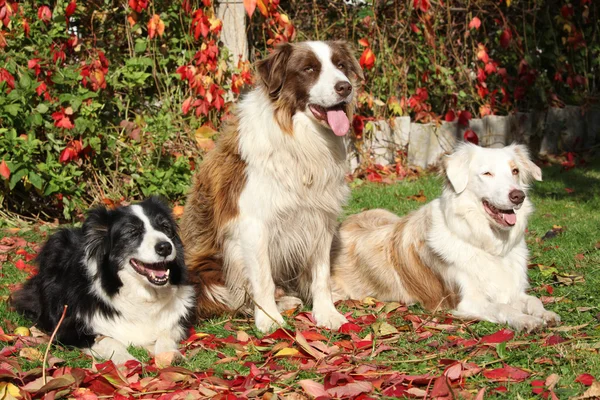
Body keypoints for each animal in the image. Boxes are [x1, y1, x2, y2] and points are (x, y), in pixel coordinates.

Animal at [180, 41, 364, 332]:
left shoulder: (320, 219)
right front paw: (268, 320)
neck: (301, 140)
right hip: (206, 270)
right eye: (309, 69)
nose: (345, 87)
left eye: (341, 65)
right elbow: (262, 278)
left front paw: (326, 313)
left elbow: (321, 274)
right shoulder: (252, 224)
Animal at [332, 143, 564, 332]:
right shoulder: (466, 301)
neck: (489, 245)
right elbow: (502, 307)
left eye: (515, 171)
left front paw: (545, 314)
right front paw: (526, 320)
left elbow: (533, 300)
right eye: (487, 173)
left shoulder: (512, 290)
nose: (518, 196)